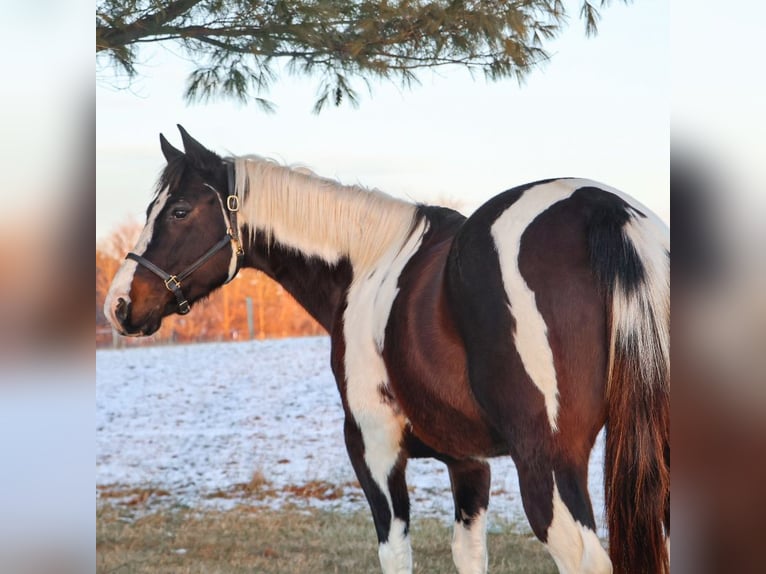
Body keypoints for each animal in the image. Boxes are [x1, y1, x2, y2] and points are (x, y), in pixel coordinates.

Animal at [104, 125, 669, 574]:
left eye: (179, 210)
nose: (119, 305)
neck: (365, 266)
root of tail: (603, 210)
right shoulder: (469, 464)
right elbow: (469, 554)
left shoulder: (373, 450)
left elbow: (396, 554)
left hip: (547, 466)